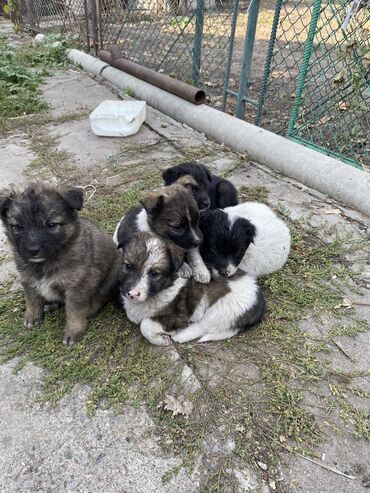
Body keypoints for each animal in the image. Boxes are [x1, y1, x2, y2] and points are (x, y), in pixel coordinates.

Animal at [0, 182, 121, 346]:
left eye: (51, 224)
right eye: (19, 226)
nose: (33, 250)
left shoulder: (78, 286)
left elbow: (75, 311)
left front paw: (74, 331)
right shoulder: (28, 279)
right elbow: (32, 298)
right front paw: (32, 316)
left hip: (113, 272)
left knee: (101, 295)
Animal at [120, 232, 264, 344]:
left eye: (154, 273)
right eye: (128, 266)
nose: (132, 294)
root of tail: (259, 302)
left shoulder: (178, 316)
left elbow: (145, 324)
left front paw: (161, 339)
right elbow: (132, 315)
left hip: (221, 310)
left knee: (202, 327)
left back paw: (180, 335)